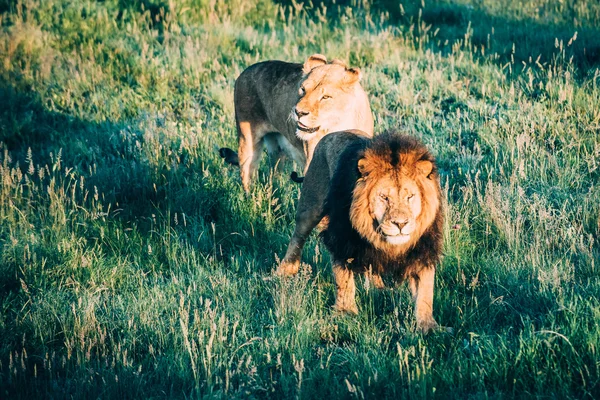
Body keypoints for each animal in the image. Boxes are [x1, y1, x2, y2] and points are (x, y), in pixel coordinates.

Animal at [218, 54, 372, 191]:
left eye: (326, 97)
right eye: (303, 89)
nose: (298, 112)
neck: (338, 126)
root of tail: (245, 71)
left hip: (277, 150)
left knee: (273, 176)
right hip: (247, 143)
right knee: (248, 178)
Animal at [278, 130, 446, 332]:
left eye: (410, 196)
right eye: (384, 197)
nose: (400, 224)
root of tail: (332, 133)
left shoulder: (423, 249)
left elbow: (425, 291)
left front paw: (428, 326)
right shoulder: (342, 240)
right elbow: (343, 280)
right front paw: (346, 313)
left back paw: (378, 288)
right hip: (311, 206)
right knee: (298, 236)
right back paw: (286, 270)